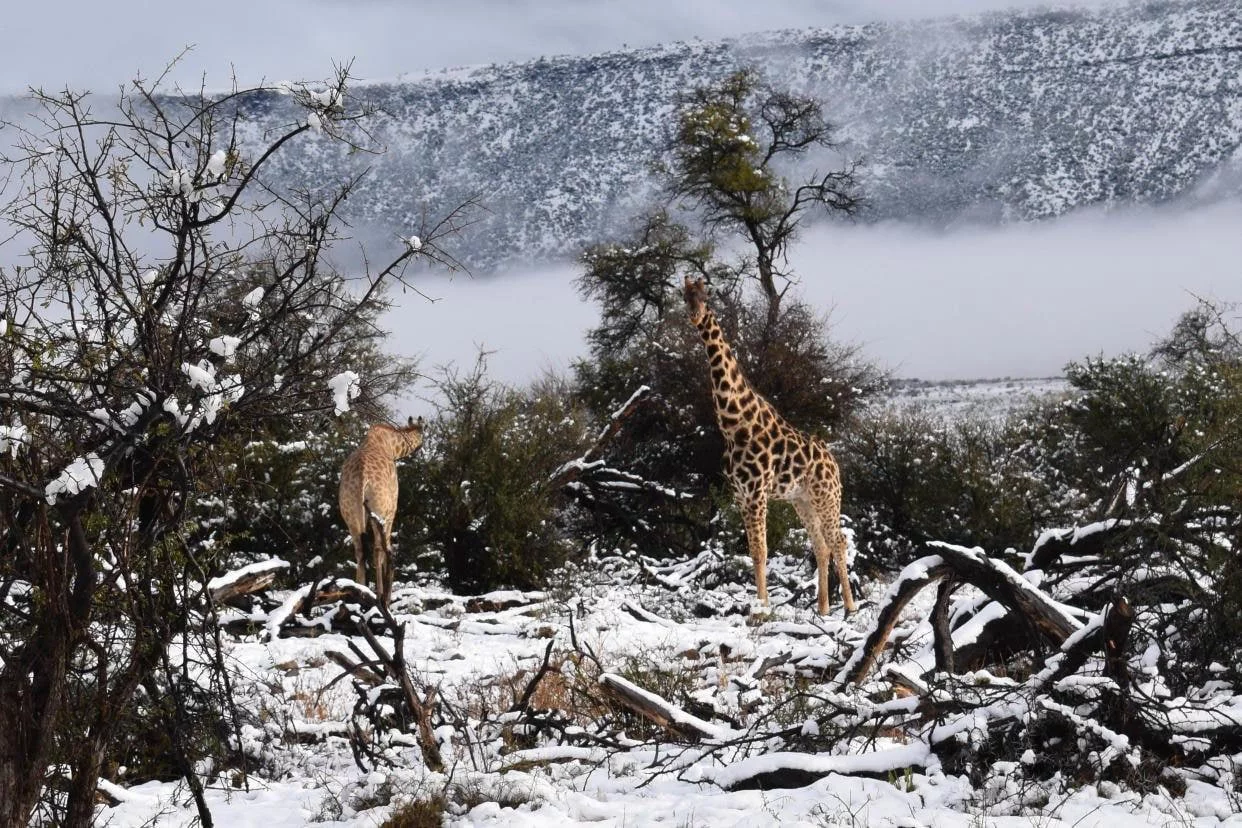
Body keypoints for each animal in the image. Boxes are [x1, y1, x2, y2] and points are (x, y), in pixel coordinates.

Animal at [337, 417, 424, 605]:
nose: (420, 447)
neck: (391, 445)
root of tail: (362, 477)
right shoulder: (392, 509)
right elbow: (387, 548)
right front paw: (387, 595)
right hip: (379, 510)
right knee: (377, 549)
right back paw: (380, 597)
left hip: (349, 513)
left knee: (360, 551)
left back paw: (360, 592)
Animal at [685, 276, 859, 615]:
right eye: (685, 297)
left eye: (705, 295)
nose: (695, 317)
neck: (734, 422)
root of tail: (834, 462)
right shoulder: (740, 495)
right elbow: (753, 551)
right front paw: (759, 605)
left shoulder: (756, 493)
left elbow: (762, 551)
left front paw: (762, 608)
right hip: (802, 500)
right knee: (820, 545)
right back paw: (823, 609)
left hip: (827, 496)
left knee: (838, 540)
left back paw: (850, 607)